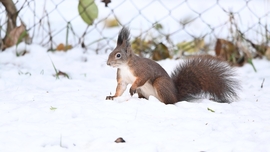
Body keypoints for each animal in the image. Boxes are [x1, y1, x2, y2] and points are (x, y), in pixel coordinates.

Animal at [105, 27, 240, 104]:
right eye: (111, 53)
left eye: (118, 55)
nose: (108, 63)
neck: (125, 66)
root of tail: (176, 96)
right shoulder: (122, 78)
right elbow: (120, 88)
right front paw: (112, 96)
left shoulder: (142, 70)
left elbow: (143, 77)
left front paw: (132, 87)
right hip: (143, 91)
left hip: (160, 84)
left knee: (169, 102)